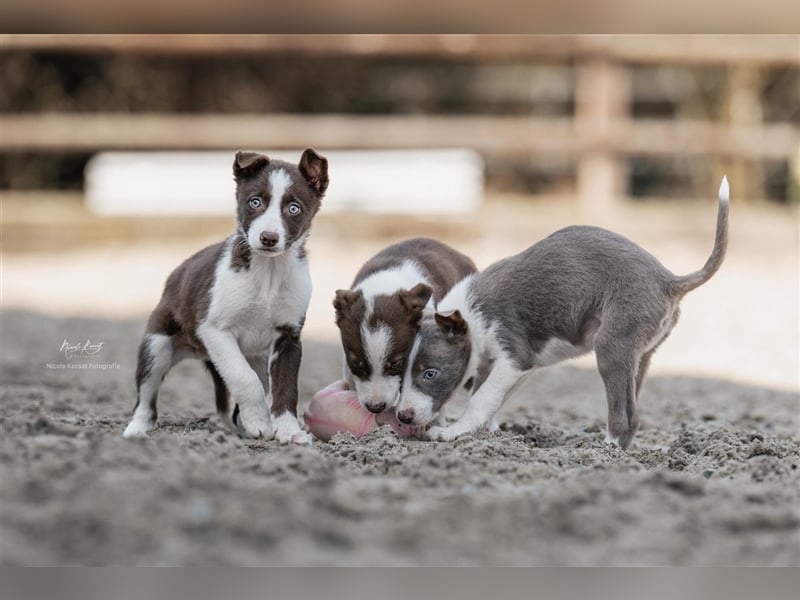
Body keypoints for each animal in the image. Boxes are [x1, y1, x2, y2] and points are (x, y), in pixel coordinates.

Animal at [122, 148, 328, 442]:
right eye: (255, 202)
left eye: (294, 208)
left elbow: (286, 387)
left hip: (257, 356)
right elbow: (244, 378)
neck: (268, 272)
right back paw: (136, 430)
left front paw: (289, 431)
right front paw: (259, 422)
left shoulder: (289, 336)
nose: (268, 238)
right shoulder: (214, 330)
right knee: (145, 398)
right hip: (157, 346)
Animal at [396, 176, 732, 448]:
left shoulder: (514, 356)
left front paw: (452, 432)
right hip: (641, 355)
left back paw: (605, 450)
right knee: (634, 414)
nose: (403, 416)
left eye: (430, 373)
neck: (469, 314)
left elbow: (480, 399)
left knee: (623, 415)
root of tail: (668, 280)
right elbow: (490, 398)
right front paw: (487, 433)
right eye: (399, 370)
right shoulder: (509, 367)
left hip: (612, 347)